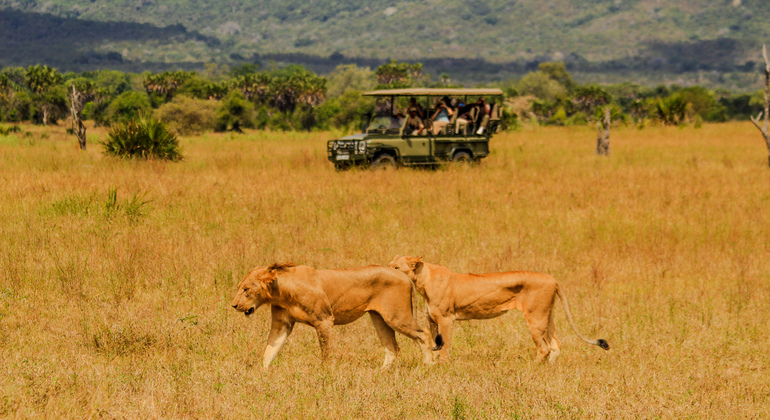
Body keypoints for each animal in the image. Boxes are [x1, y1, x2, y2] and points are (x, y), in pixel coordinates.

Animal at [231, 264, 440, 370]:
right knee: (392, 347)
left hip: (396, 316)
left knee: (423, 333)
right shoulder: (282, 324)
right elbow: (269, 350)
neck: (281, 291)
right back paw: (382, 372)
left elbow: (326, 351)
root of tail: (404, 276)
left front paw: (326, 375)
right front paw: (262, 374)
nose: (234, 305)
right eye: (240, 287)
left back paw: (428, 365)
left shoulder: (324, 320)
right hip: (379, 318)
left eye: (246, 289)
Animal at [388, 256, 608, 364]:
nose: (386, 270)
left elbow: (445, 345)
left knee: (544, 348)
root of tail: (552, 278)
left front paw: (442, 365)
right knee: (555, 345)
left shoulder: (446, 319)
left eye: (396, 267)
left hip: (535, 318)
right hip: (547, 316)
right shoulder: (433, 321)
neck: (422, 280)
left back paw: (533, 368)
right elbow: (434, 343)